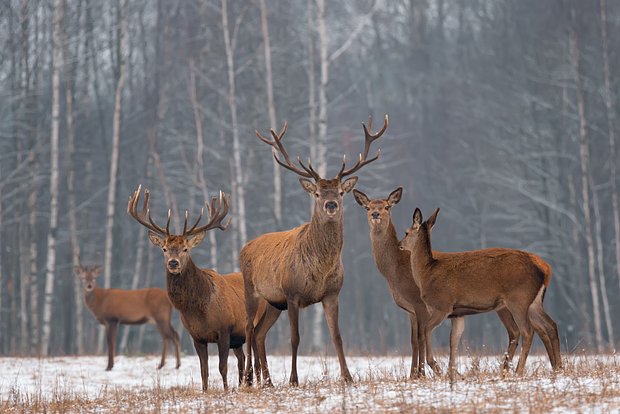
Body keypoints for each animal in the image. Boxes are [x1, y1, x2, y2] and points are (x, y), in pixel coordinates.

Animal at [128, 186, 266, 390]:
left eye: (186, 249)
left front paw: (226, 390)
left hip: (254, 324)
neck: (199, 310)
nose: (173, 263)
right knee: (242, 358)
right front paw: (206, 391)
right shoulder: (196, 337)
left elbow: (222, 367)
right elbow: (204, 371)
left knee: (255, 356)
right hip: (238, 339)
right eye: (164, 249)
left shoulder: (224, 330)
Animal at [242, 115, 388, 386]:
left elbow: (337, 336)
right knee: (248, 328)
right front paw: (293, 379)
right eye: (318, 193)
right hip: (251, 290)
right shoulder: (292, 293)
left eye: (340, 192)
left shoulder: (332, 294)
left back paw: (267, 381)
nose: (331, 204)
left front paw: (347, 377)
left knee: (258, 333)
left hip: (273, 302)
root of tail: (245, 246)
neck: (320, 270)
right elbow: (295, 338)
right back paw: (247, 379)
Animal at [354, 188, 524, 378]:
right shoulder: (410, 310)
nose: (375, 214)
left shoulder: (420, 304)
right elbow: (413, 340)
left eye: (387, 206)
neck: (395, 272)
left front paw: (421, 374)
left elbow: (420, 337)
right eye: (367, 207)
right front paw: (412, 375)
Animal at [400, 209, 564, 380]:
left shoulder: (442, 306)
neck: (426, 274)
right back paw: (558, 368)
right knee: (551, 325)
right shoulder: (457, 314)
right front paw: (452, 373)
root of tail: (546, 269)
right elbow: (454, 340)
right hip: (534, 302)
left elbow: (426, 330)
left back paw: (519, 371)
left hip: (518, 299)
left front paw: (436, 366)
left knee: (528, 330)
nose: (400, 245)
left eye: (406, 232)